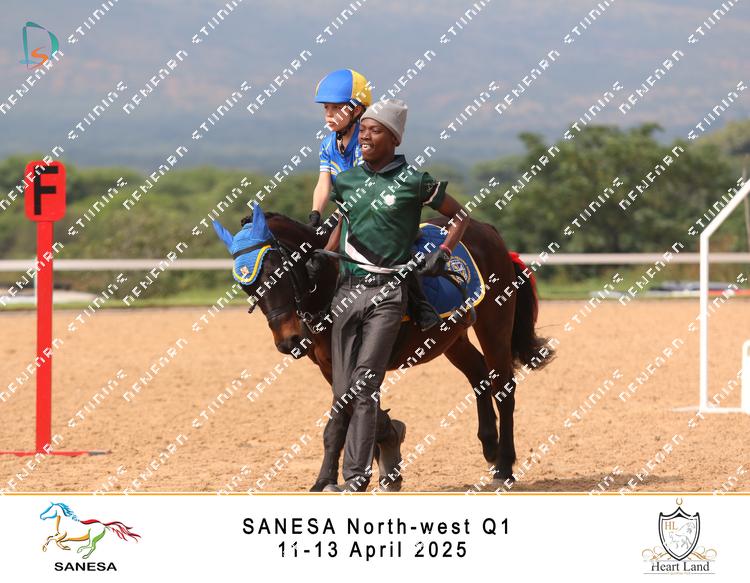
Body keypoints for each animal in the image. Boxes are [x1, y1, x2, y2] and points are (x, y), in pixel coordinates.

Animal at [212, 204, 554, 491]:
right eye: (247, 286)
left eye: (277, 272)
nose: (288, 341)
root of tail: (488, 231)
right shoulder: (331, 365)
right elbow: (357, 412)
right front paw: (384, 455)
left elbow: (344, 417)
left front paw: (335, 478)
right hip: (451, 338)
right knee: (479, 375)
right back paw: (489, 445)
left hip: (495, 324)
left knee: (504, 387)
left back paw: (504, 467)